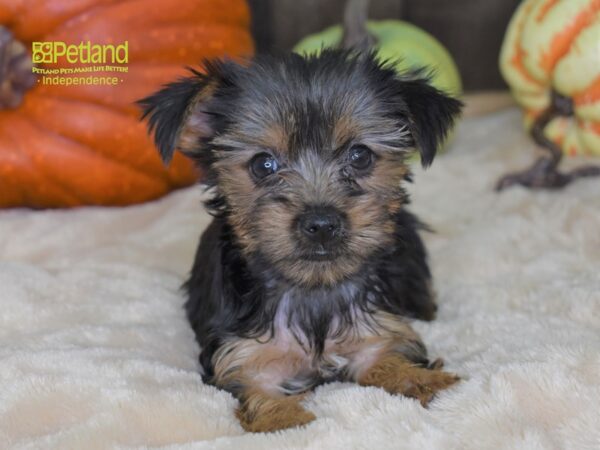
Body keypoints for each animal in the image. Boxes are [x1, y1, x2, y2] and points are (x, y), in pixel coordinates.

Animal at [138, 50, 462, 432]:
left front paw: (428, 382)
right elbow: (260, 398)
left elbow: (390, 360)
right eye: (263, 164)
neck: (313, 290)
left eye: (360, 156)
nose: (321, 224)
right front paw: (286, 419)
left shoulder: (377, 334)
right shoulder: (243, 359)